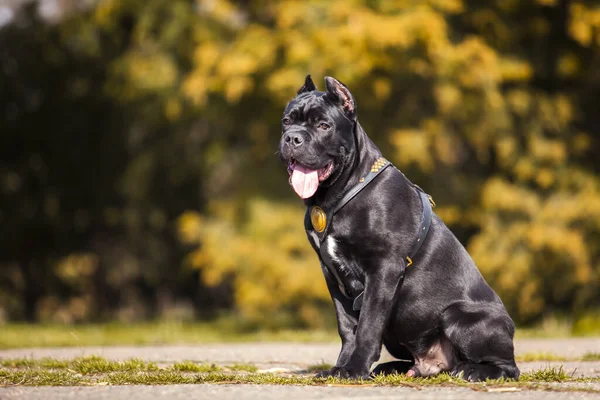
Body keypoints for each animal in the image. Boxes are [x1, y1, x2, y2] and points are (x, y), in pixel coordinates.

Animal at [278, 74, 516, 382]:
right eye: (286, 121)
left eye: (323, 126)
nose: (292, 137)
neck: (340, 193)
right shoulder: (331, 274)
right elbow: (347, 327)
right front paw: (339, 368)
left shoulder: (384, 269)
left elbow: (368, 325)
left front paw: (354, 369)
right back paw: (393, 368)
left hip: (459, 317)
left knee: (509, 367)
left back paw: (472, 370)